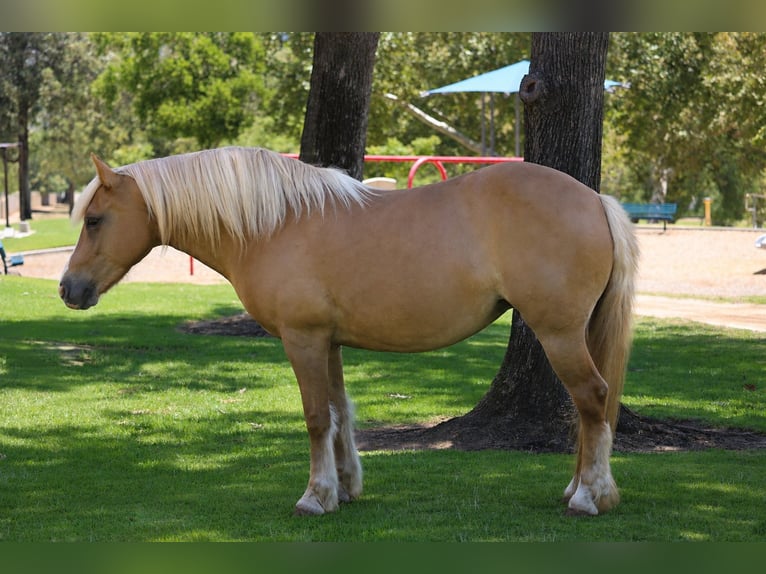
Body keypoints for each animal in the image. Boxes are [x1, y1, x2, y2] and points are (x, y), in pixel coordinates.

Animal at [59, 146, 639, 517]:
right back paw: (576, 489)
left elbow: (317, 417)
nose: (68, 288)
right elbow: (340, 413)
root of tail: (595, 199)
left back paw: (589, 498)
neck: (275, 224)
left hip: (559, 334)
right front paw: (345, 488)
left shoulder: (303, 339)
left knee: (593, 399)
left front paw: (315, 497)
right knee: (591, 409)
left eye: (94, 220)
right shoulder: (329, 342)